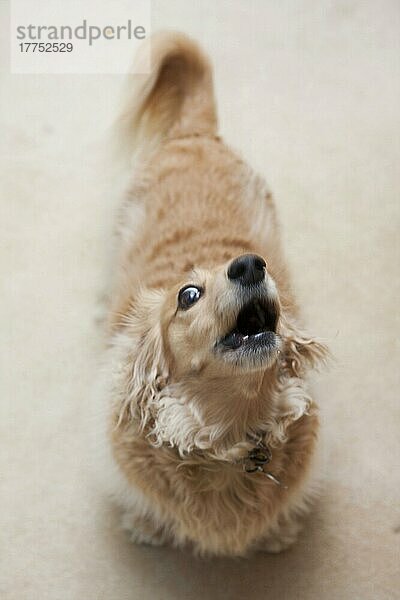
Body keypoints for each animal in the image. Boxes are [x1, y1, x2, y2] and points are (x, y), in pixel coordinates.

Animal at [102, 31, 328, 556]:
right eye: (187, 295)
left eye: (259, 263)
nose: (250, 264)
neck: (230, 438)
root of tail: (195, 135)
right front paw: (147, 526)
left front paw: (278, 532)